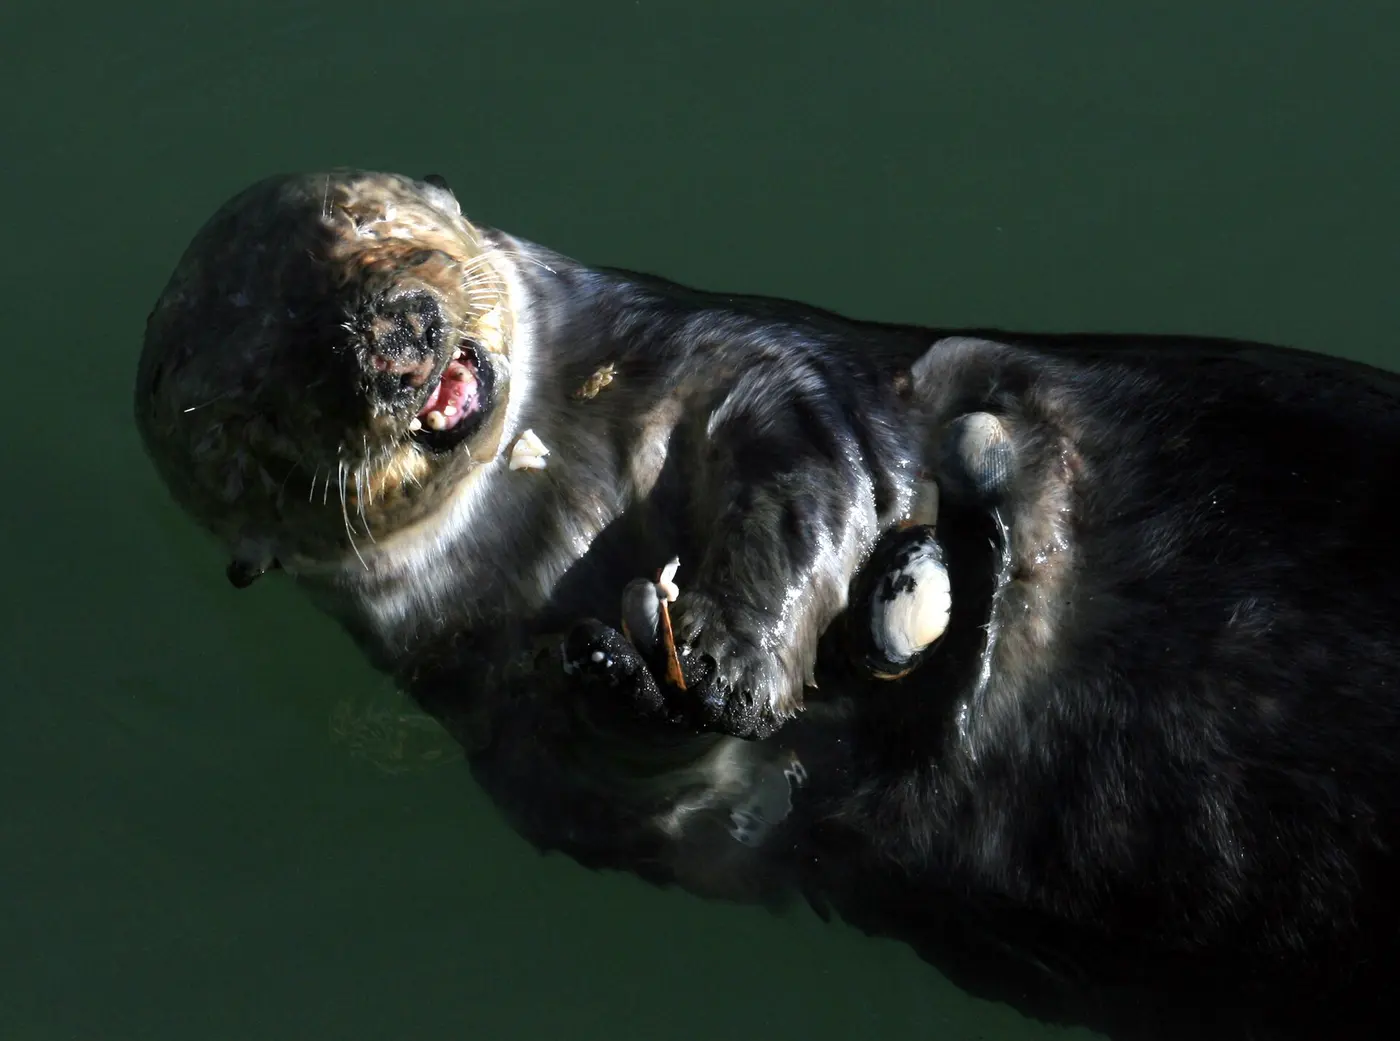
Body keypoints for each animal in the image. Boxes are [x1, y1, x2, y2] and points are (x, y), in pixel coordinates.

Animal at [135, 169, 1400, 1040]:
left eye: (374, 230)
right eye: (267, 384)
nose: (389, 338)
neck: (547, 492)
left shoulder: (717, 356)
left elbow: (800, 458)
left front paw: (731, 653)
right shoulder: (489, 706)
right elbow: (657, 783)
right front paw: (615, 668)